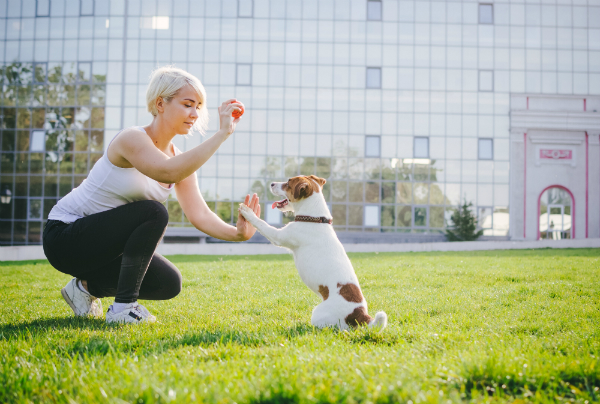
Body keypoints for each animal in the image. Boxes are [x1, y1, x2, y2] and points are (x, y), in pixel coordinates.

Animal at [239, 174, 390, 332]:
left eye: (288, 183)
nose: (272, 183)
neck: (314, 219)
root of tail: (360, 315)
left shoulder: (279, 236)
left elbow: (262, 224)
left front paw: (248, 212)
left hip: (319, 314)